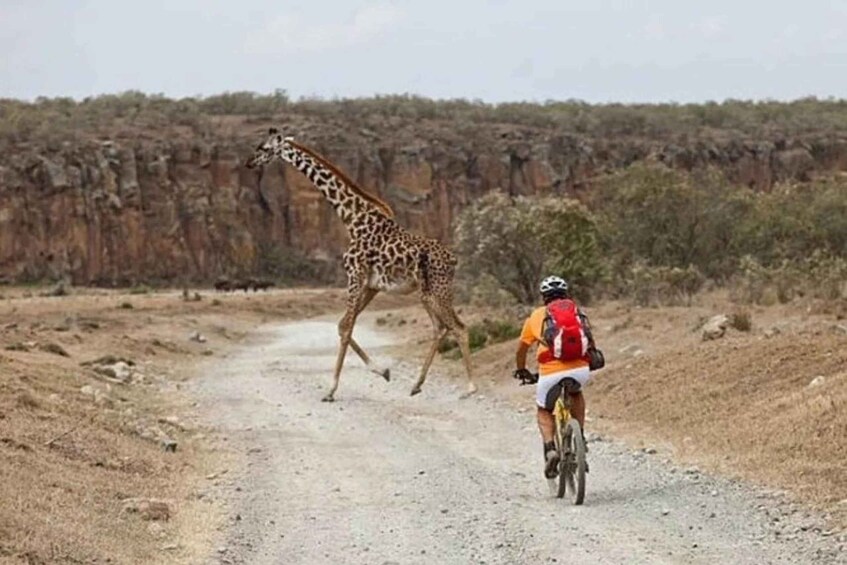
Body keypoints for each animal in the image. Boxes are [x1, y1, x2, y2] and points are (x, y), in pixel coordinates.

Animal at [246, 128, 477, 402]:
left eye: (263, 147)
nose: (249, 163)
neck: (352, 218)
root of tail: (453, 259)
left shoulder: (354, 276)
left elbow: (346, 328)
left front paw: (331, 389)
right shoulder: (372, 285)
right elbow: (342, 325)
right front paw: (383, 371)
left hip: (437, 291)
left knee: (459, 328)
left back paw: (470, 388)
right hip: (427, 293)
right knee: (439, 328)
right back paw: (416, 384)